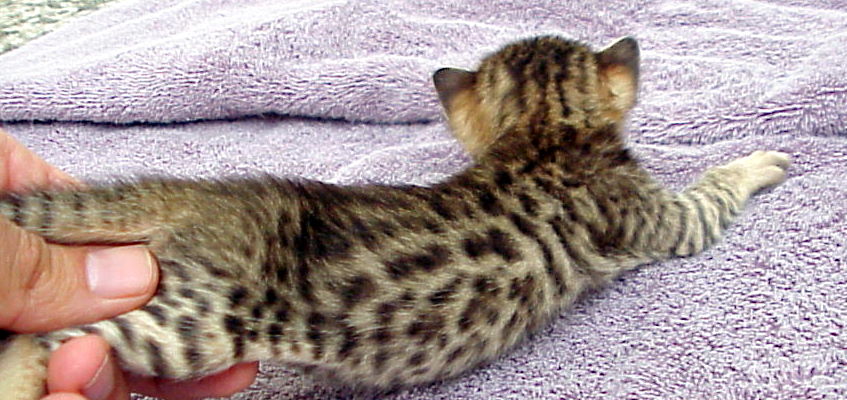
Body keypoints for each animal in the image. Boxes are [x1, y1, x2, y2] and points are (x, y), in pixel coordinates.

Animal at [0, 35, 790, 400]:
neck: (543, 132)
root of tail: (208, 198)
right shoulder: (657, 217)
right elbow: (712, 192)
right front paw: (759, 161)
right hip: (192, 323)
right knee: (43, 343)